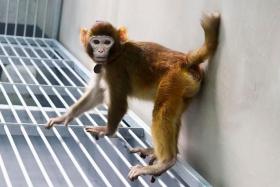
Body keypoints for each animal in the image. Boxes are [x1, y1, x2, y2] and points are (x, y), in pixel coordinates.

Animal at [46, 12, 221, 181]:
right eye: (96, 42)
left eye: (106, 42)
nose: (101, 51)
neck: (116, 53)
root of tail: (185, 60)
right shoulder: (103, 67)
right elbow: (97, 93)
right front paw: (64, 117)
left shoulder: (115, 69)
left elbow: (119, 103)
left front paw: (108, 130)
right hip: (184, 88)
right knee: (173, 117)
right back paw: (163, 153)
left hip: (173, 80)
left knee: (161, 114)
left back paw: (165, 162)